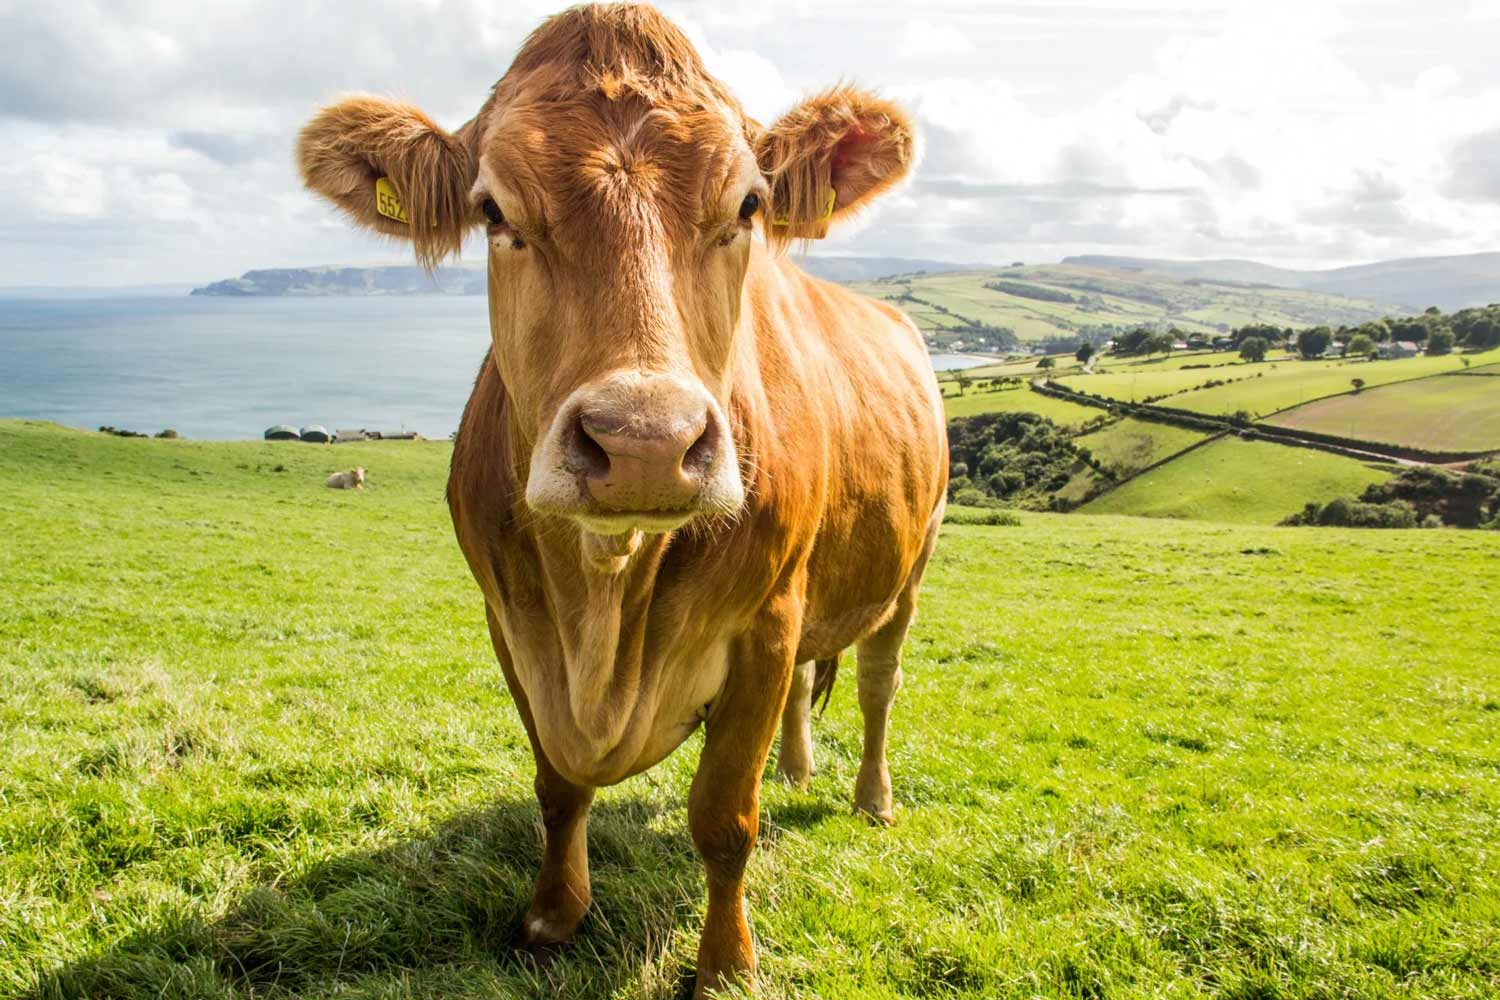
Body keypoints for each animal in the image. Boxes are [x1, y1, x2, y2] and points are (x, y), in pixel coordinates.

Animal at [296, 4, 946, 994]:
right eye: (494, 210)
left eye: (748, 204)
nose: (644, 444)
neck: (604, 604)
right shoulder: (511, 625)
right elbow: (558, 785)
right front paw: (552, 916)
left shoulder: (765, 622)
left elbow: (724, 818)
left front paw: (726, 963)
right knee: (814, 686)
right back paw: (797, 770)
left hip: (911, 565)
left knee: (878, 682)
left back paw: (870, 799)